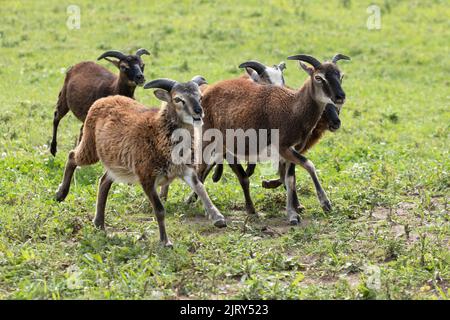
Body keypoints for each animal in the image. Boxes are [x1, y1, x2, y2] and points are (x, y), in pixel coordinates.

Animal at [196, 53, 348, 224]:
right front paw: (325, 203)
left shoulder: (290, 150)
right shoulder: (283, 147)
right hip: (207, 139)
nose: (340, 96)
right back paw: (212, 212)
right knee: (200, 170)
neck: (293, 109)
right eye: (318, 77)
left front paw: (293, 214)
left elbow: (290, 179)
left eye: (340, 76)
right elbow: (309, 165)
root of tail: (207, 91)